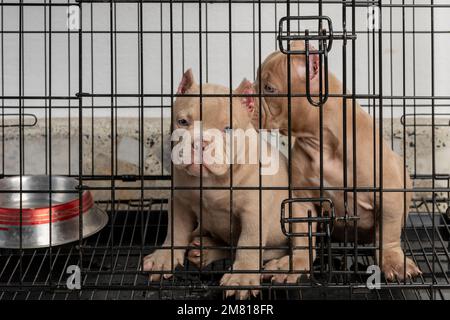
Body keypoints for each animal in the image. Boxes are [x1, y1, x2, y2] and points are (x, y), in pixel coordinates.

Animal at [144, 69, 316, 298]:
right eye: (182, 122)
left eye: (228, 128)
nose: (200, 142)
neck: (213, 180)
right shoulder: (180, 202)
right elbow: (175, 231)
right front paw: (163, 258)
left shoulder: (253, 212)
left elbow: (248, 243)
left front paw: (241, 278)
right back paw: (203, 249)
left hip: (298, 208)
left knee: (303, 249)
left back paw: (286, 267)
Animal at [253, 40, 422, 280]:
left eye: (269, 89)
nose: (243, 96)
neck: (321, 143)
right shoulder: (301, 199)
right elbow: (302, 236)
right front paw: (296, 263)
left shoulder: (388, 194)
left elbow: (387, 235)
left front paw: (394, 262)